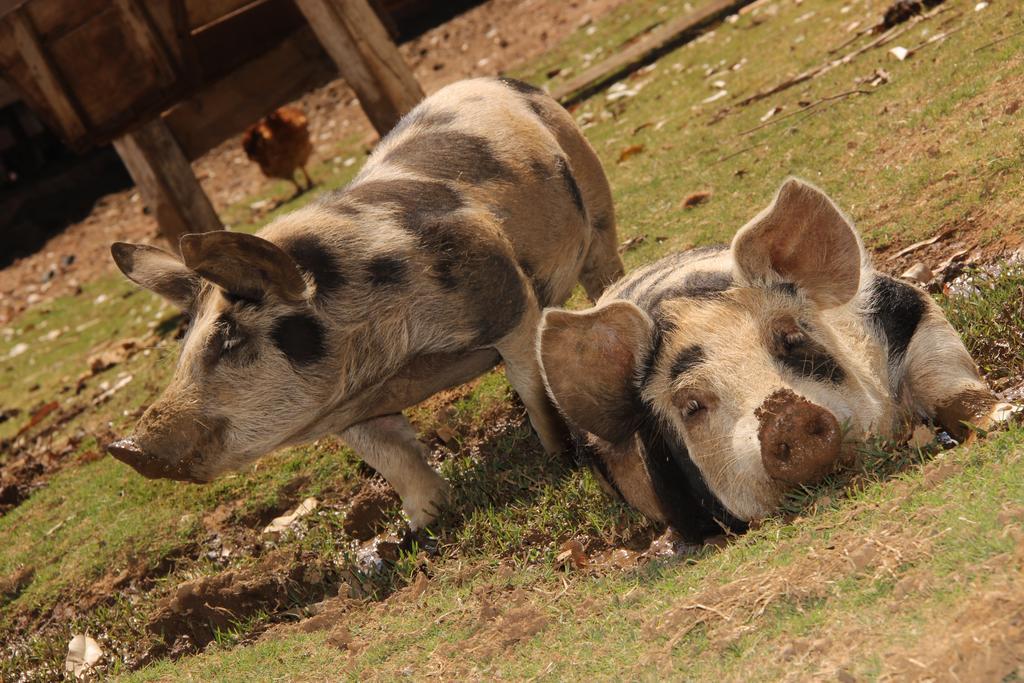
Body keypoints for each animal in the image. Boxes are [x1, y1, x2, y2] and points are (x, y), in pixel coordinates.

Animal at [110, 77, 622, 532]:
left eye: (231, 338)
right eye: (183, 348)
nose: (126, 446)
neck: (388, 367)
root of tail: (496, 80)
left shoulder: (507, 300)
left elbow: (536, 391)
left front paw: (559, 458)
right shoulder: (346, 411)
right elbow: (394, 460)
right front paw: (421, 527)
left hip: (595, 199)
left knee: (603, 269)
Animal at [540, 179, 1011, 540]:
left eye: (791, 338)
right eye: (691, 405)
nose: (783, 413)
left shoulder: (905, 312)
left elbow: (946, 379)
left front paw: (1002, 417)